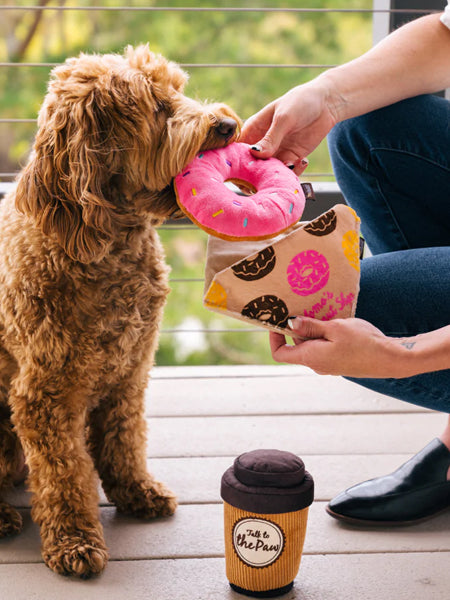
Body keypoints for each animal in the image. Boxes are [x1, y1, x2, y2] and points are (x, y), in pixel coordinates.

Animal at [0, 43, 241, 576]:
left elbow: (124, 438)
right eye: (157, 108)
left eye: (178, 89)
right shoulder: (45, 395)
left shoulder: (129, 371)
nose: (226, 124)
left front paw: (135, 491)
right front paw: (73, 538)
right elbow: (65, 472)